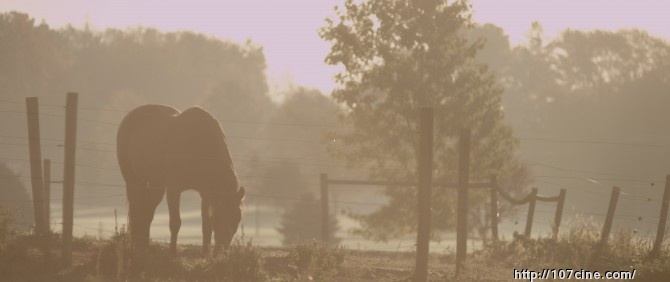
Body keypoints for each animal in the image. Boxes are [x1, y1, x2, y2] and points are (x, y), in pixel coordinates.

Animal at [117, 104, 245, 256]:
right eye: (219, 217)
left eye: (237, 218)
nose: (220, 252)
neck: (200, 144)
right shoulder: (174, 189)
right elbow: (175, 223)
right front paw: (172, 253)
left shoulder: (205, 193)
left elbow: (206, 226)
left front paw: (204, 255)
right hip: (133, 181)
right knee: (136, 211)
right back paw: (136, 248)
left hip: (156, 184)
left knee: (147, 212)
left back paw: (143, 246)